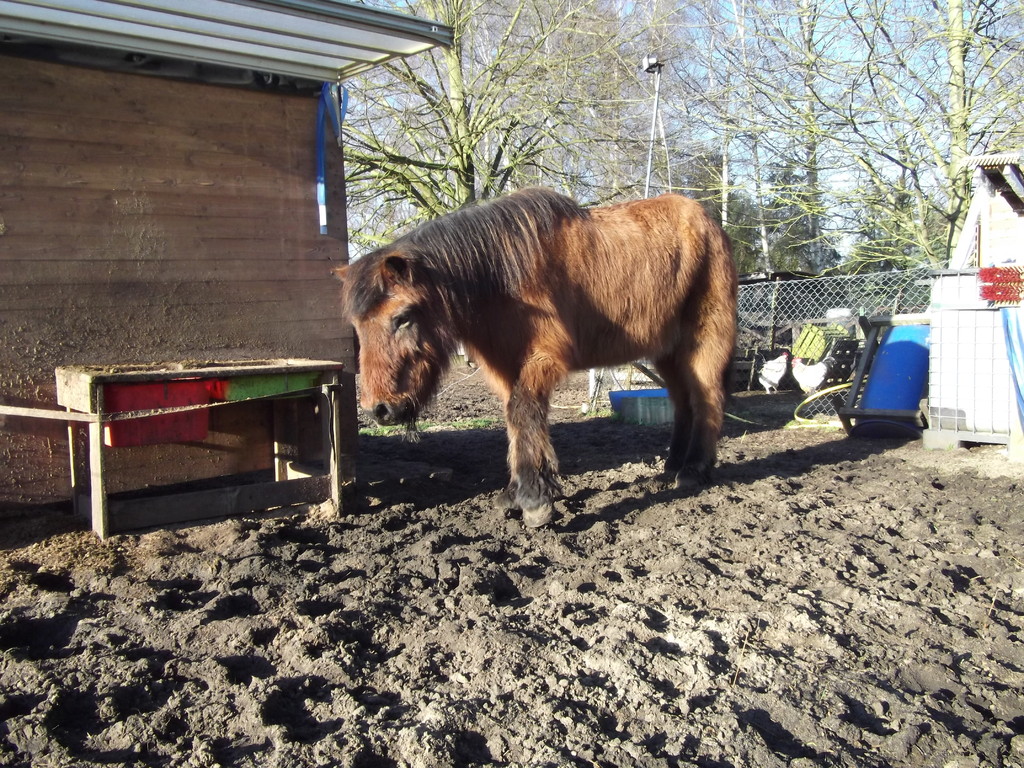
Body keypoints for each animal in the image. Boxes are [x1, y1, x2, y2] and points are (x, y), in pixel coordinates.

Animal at [339, 188, 741, 528]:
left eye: (402, 317)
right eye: (356, 326)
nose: (379, 410)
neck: (502, 276)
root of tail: (709, 223)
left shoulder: (542, 360)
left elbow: (524, 412)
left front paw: (534, 499)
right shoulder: (505, 366)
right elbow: (518, 421)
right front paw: (521, 492)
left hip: (704, 342)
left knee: (706, 399)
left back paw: (694, 470)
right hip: (667, 352)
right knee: (683, 402)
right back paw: (673, 464)